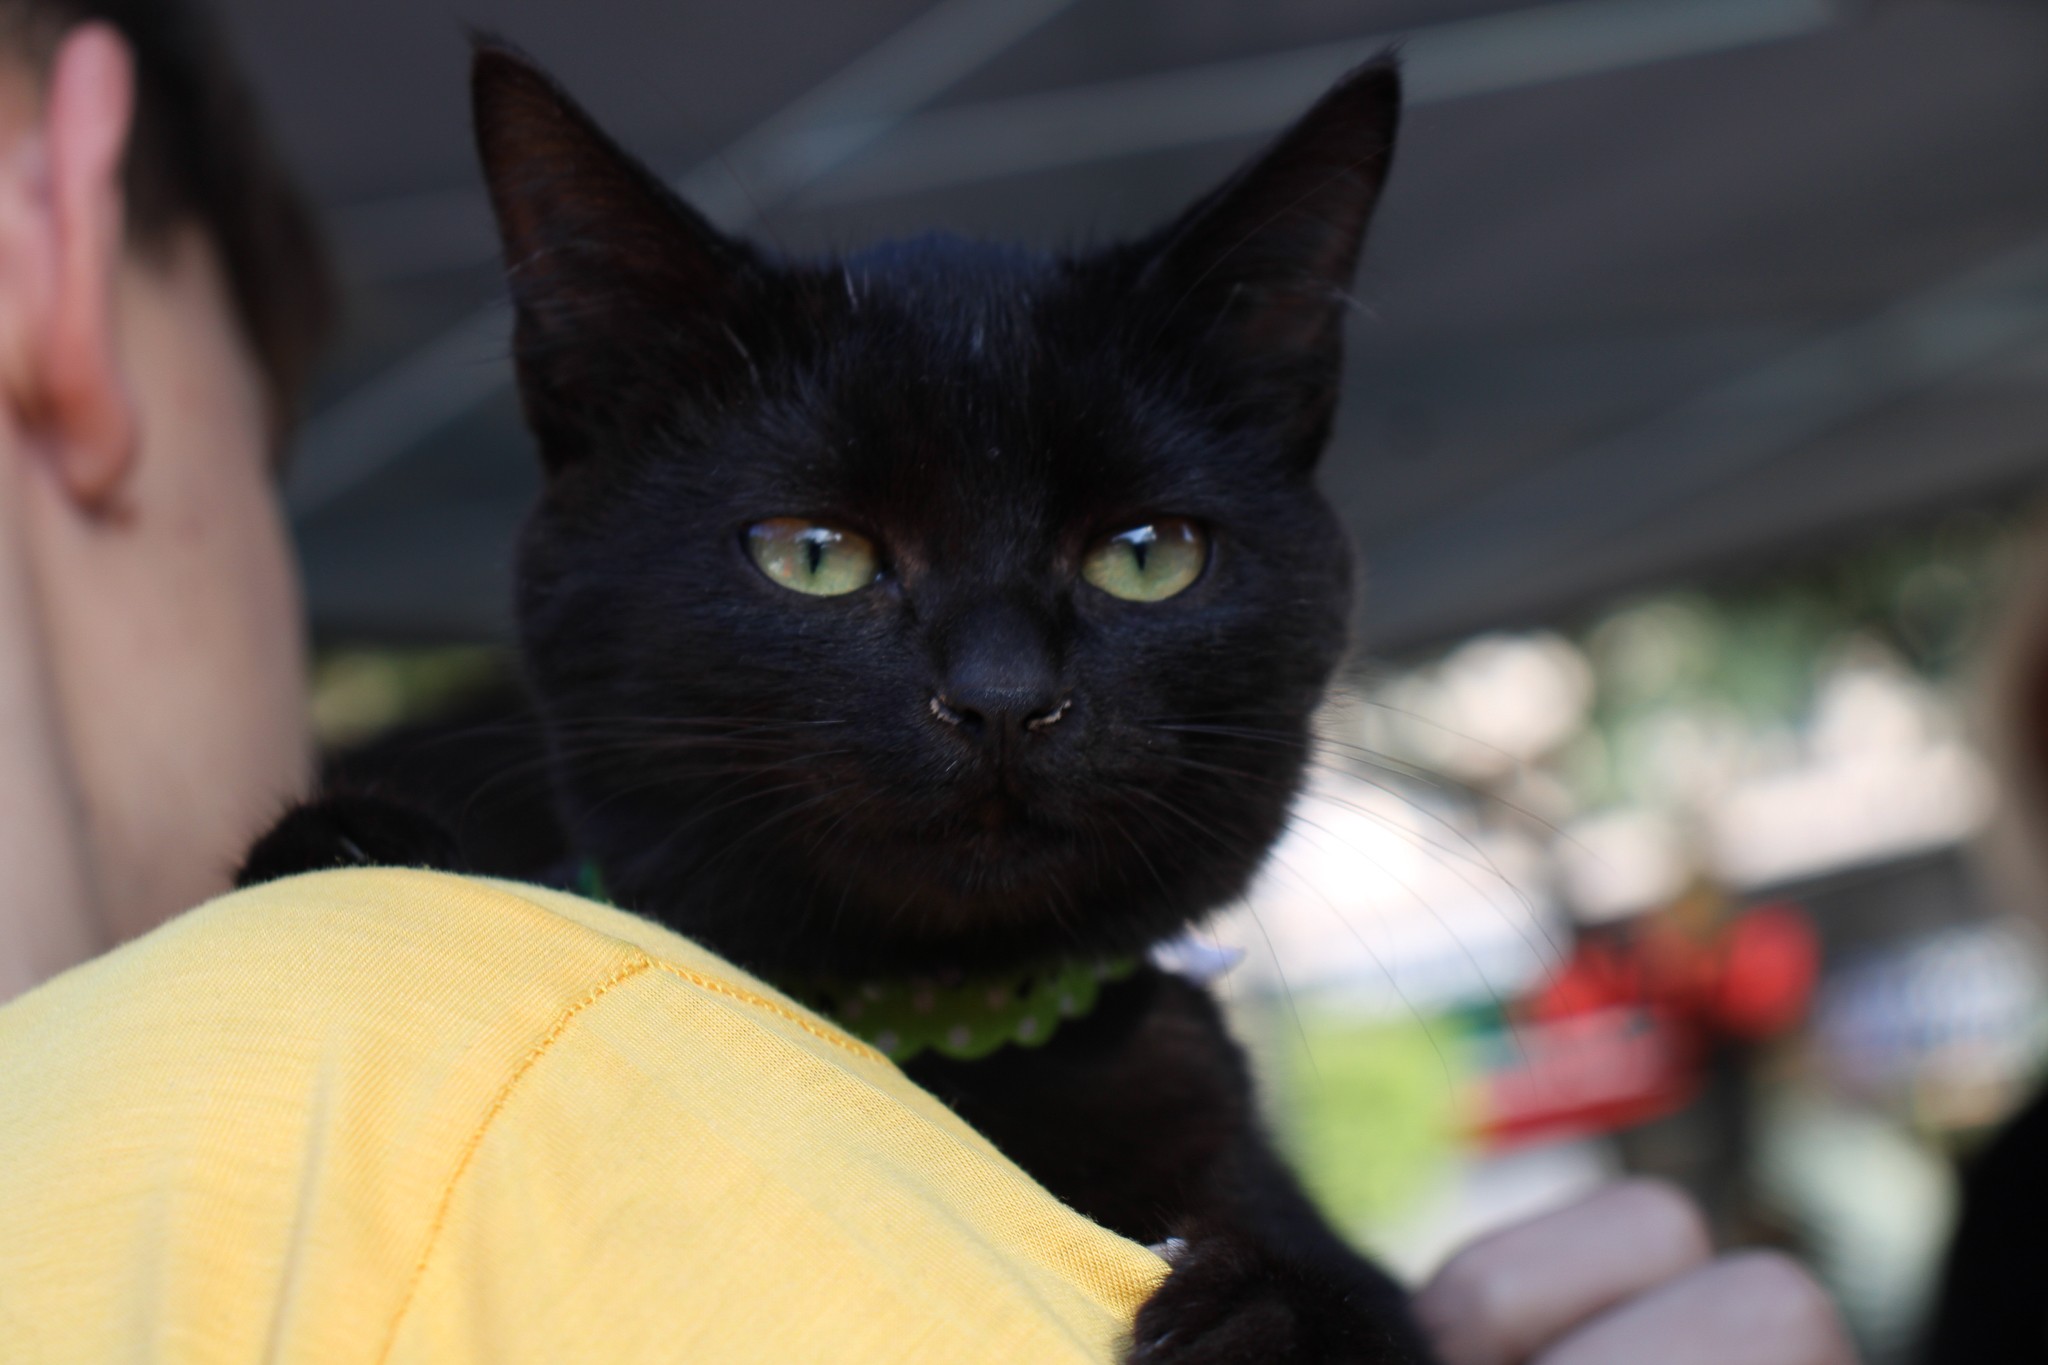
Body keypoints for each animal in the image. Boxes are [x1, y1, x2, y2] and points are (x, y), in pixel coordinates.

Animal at [245, 37, 1431, 1365]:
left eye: (1145, 555)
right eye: (813, 554)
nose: (1002, 696)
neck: (938, 1039)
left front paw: (1261, 1318)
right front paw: (348, 841)